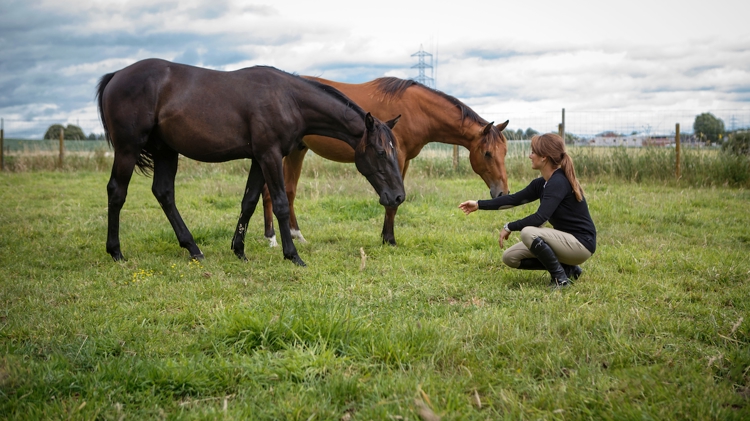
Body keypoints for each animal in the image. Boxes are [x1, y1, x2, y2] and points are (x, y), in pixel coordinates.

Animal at [99, 58, 408, 266]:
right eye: (381, 152)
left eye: (395, 151)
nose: (398, 196)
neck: (288, 99)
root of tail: (116, 76)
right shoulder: (269, 155)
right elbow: (280, 203)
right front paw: (292, 255)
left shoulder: (260, 159)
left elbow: (248, 201)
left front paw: (239, 249)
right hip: (128, 149)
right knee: (117, 191)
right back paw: (116, 252)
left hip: (166, 151)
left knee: (164, 193)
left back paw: (193, 249)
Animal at [260, 76, 512, 246]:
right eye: (487, 154)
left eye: (505, 152)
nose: (503, 193)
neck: (416, 109)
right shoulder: (396, 157)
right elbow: (393, 202)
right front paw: (389, 239)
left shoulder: (404, 160)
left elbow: (395, 198)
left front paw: (385, 235)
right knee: (269, 192)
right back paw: (272, 238)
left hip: (297, 151)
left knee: (289, 191)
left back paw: (296, 235)